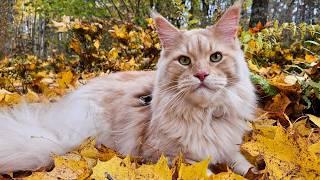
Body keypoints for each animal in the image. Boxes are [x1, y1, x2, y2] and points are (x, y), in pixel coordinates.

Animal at [0, 1, 255, 176]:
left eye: (215, 57)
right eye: (184, 61)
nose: (201, 75)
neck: (205, 117)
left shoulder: (229, 149)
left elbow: (244, 164)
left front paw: (253, 171)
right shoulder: (166, 155)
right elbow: (205, 171)